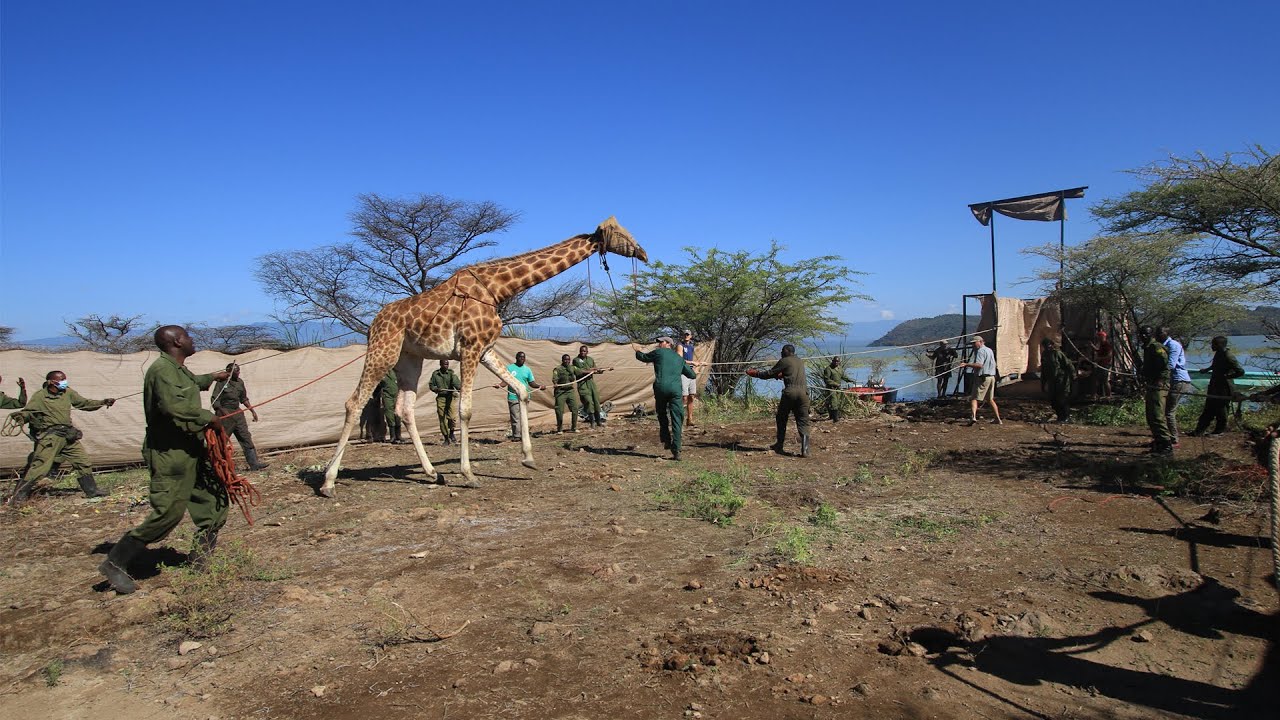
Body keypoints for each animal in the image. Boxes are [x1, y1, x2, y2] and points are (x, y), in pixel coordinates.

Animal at [320, 217, 647, 497]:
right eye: (620, 233)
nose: (643, 253)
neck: (497, 289)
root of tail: (373, 322)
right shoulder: (469, 348)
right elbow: (464, 410)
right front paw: (469, 475)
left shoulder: (486, 350)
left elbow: (521, 390)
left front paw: (528, 458)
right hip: (383, 349)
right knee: (354, 402)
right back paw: (328, 482)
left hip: (409, 357)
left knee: (405, 408)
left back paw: (432, 473)